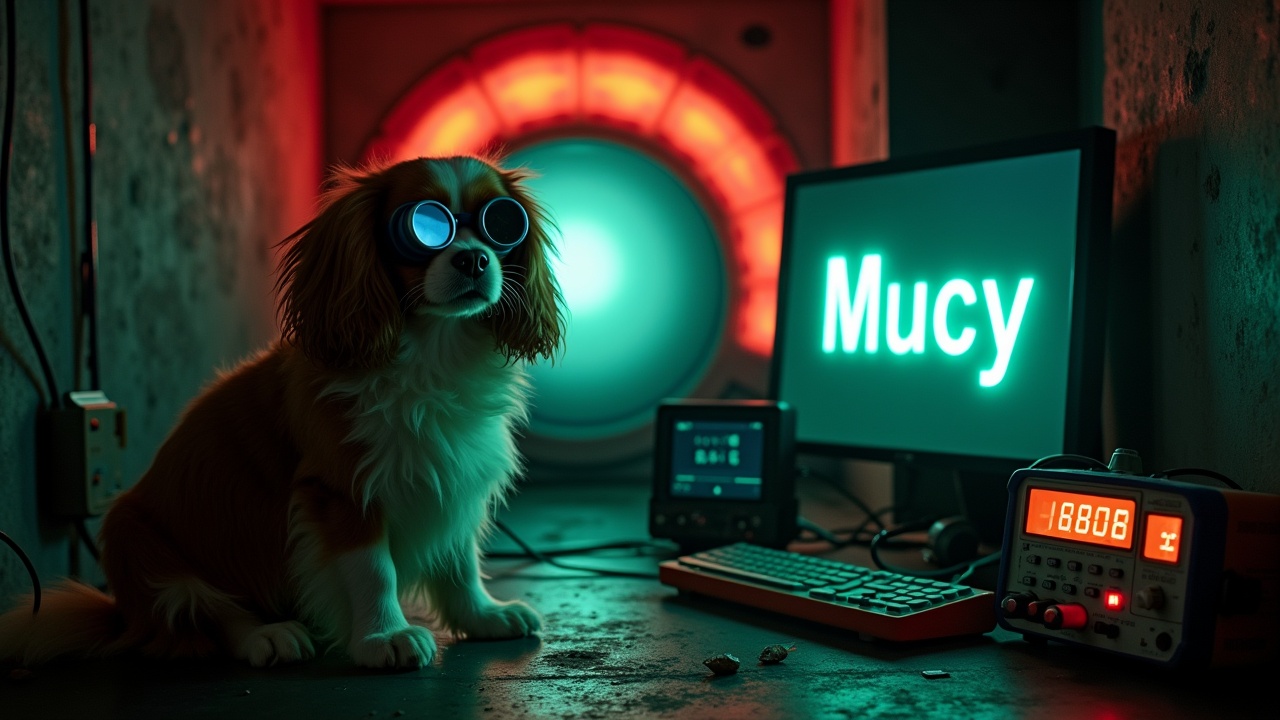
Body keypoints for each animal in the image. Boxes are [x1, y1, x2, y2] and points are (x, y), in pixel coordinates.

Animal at [0, 154, 565, 671]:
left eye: (501, 224)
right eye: (424, 226)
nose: (473, 260)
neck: (433, 352)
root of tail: (123, 615)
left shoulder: (452, 477)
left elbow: (458, 561)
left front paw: (481, 616)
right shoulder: (342, 491)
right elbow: (373, 569)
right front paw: (384, 637)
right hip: (133, 537)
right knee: (204, 614)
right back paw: (267, 635)